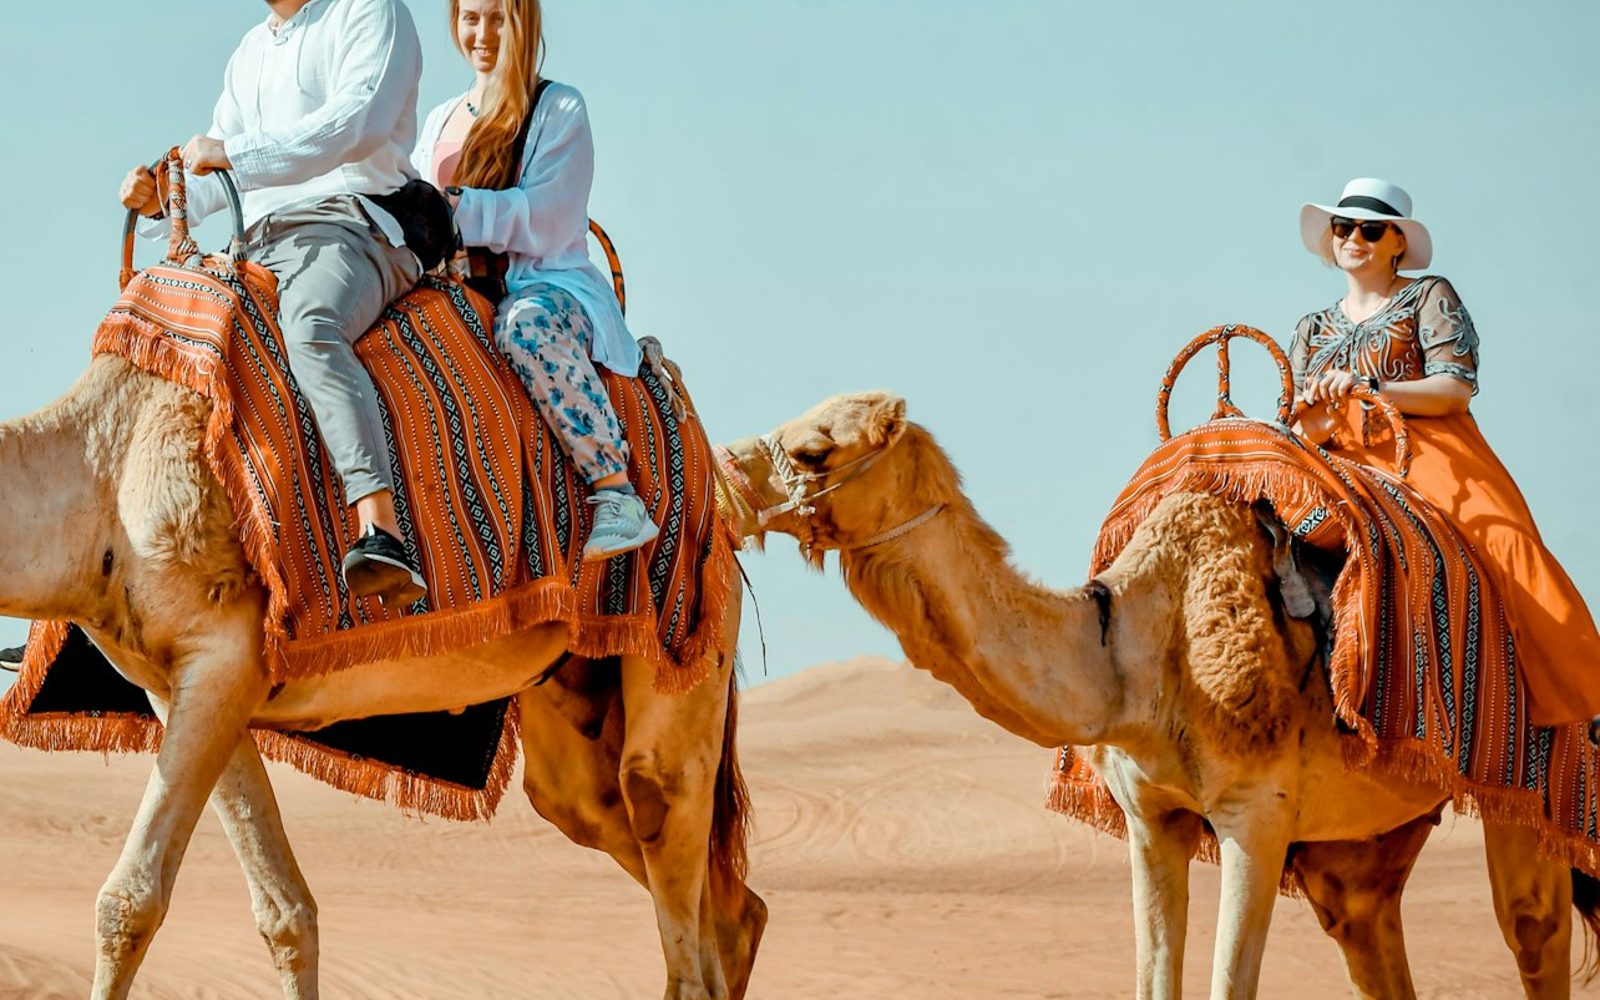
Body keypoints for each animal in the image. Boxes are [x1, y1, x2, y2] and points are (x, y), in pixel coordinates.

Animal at [0, 354, 766, 1000]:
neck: (107, 467)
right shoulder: (179, 686)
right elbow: (286, 912)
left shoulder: (222, 660)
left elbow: (128, 902)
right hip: (578, 717)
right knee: (714, 901)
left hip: (682, 632)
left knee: (660, 817)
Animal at [718, 390, 1600, 999]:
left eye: (813, 450)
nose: (725, 476)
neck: (1131, 653)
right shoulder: (1151, 821)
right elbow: (1154, 980)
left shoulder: (1256, 814)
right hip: (1364, 839)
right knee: (1365, 922)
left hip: (1536, 784)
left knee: (1534, 931)